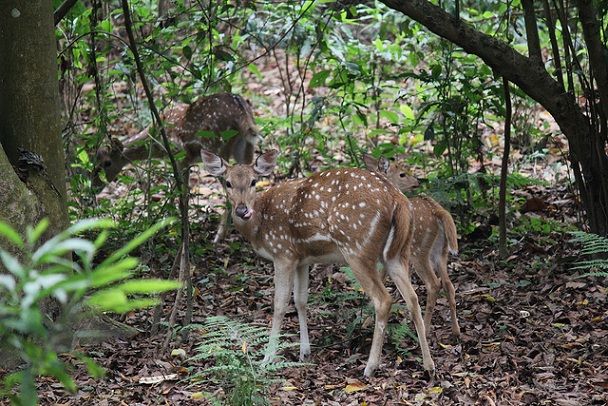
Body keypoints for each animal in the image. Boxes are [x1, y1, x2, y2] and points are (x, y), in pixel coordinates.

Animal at [94, 92, 260, 243]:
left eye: (107, 163)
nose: (95, 186)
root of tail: (242, 111)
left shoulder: (181, 156)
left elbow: (180, 195)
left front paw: (171, 228)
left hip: (216, 146)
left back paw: (218, 236)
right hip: (245, 147)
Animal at [202, 149, 434, 378]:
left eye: (253, 181)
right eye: (228, 182)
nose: (242, 210)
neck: (259, 225)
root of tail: (397, 199)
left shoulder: (283, 253)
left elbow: (280, 304)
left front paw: (268, 358)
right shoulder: (301, 259)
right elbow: (301, 301)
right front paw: (304, 352)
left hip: (357, 248)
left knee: (384, 299)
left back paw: (370, 367)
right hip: (397, 253)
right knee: (413, 298)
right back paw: (429, 366)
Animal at [360, 154, 460, 338]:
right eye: (402, 174)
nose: (417, 181)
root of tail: (437, 210)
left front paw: (367, 322)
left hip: (419, 251)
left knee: (434, 284)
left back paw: (425, 329)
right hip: (440, 251)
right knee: (448, 284)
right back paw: (456, 330)